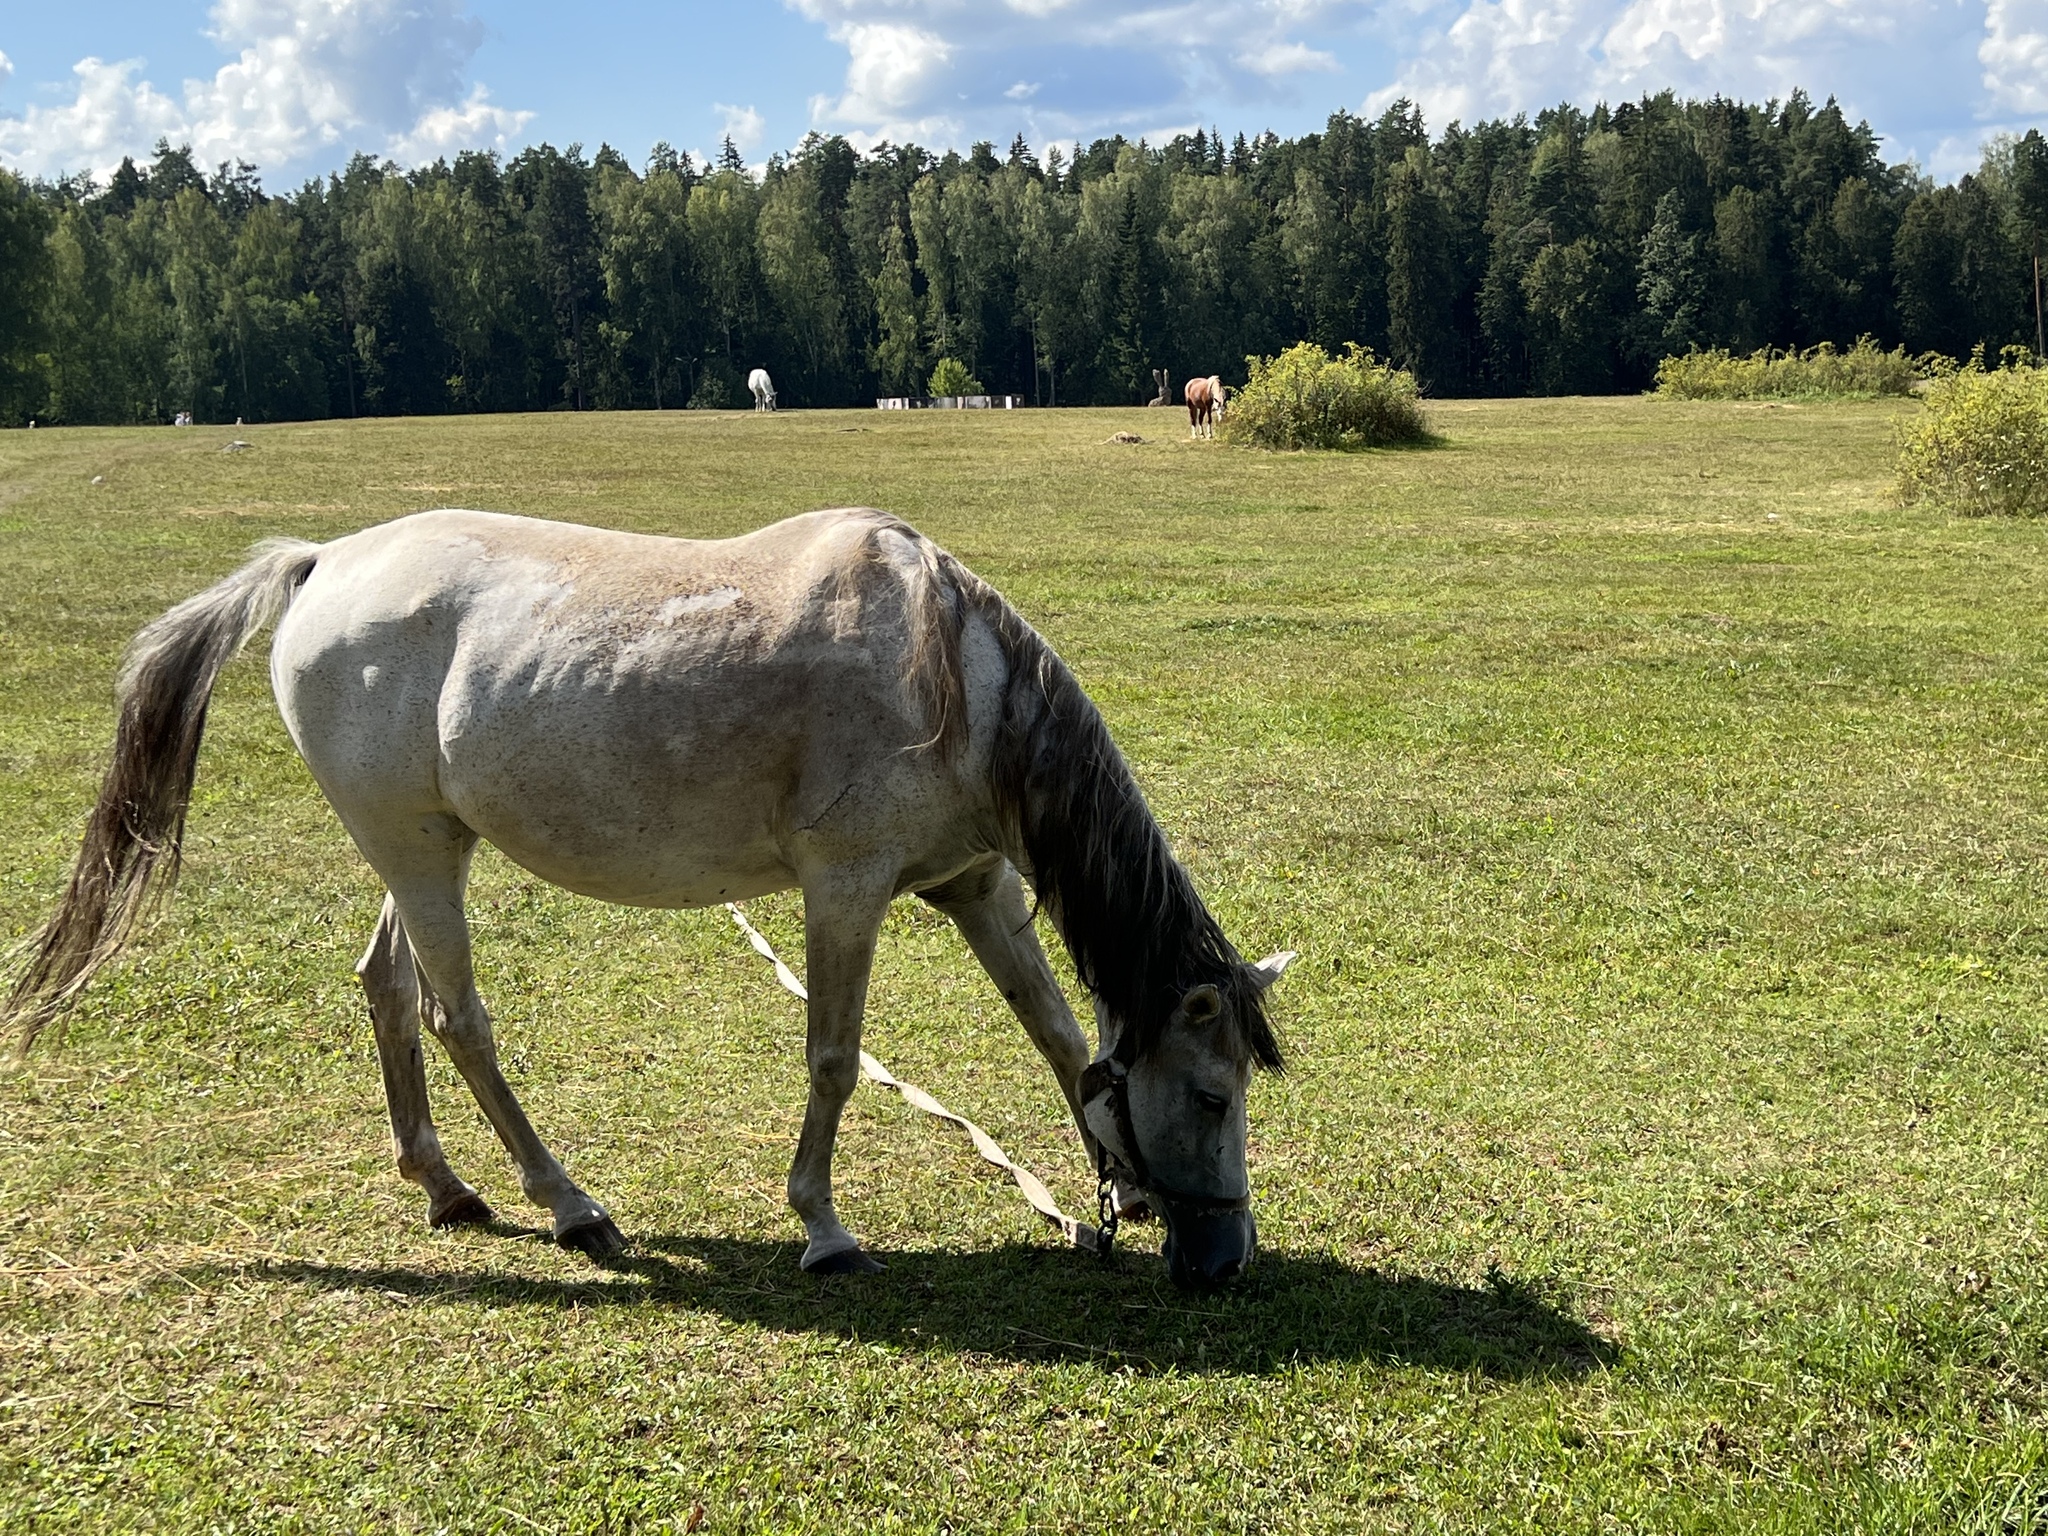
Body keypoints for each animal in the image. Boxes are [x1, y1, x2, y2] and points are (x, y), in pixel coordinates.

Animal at [8, 505, 1294, 1286]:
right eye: (1215, 1097)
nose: (1226, 1258)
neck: (952, 676)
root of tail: (323, 561)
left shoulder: (970, 884)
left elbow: (1061, 1037)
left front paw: (1109, 1183)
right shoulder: (846, 889)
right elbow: (834, 1058)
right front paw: (822, 1225)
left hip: (423, 849)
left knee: (386, 987)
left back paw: (445, 1186)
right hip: (416, 854)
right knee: (456, 1018)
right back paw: (570, 1206)